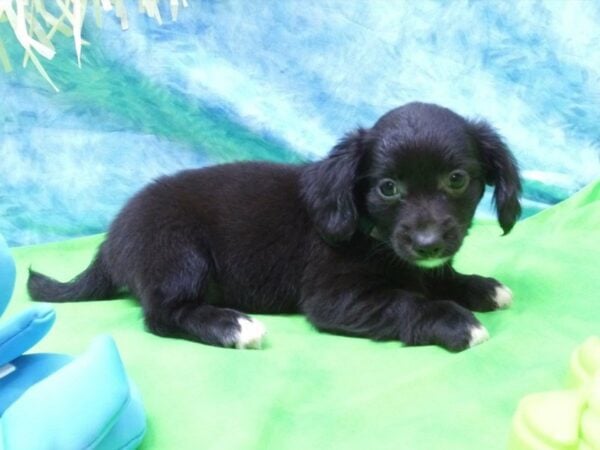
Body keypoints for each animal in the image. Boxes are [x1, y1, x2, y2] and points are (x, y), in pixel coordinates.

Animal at [29, 103, 520, 352]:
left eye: (456, 180)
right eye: (387, 188)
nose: (428, 242)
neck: (372, 234)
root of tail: (110, 241)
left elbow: (436, 278)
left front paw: (477, 286)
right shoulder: (336, 298)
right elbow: (407, 302)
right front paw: (455, 321)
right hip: (177, 253)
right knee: (163, 315)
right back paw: (233, 326)